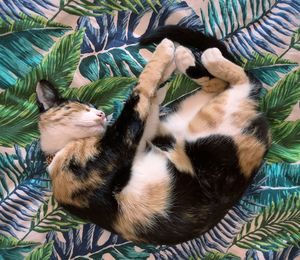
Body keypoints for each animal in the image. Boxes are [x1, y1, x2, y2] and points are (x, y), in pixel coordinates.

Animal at [36, 29, 270, 245]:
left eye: (92, 107)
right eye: (80, 107)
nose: (101, 114)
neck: (61, 152)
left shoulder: (138, 140)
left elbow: (149, 100)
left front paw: (166, 68)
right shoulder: (121, 143)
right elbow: (141, 92)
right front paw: (162, 54)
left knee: (222, 84)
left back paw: (184, 57)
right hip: (210, 135)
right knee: (241, 80)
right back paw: (199, 55)